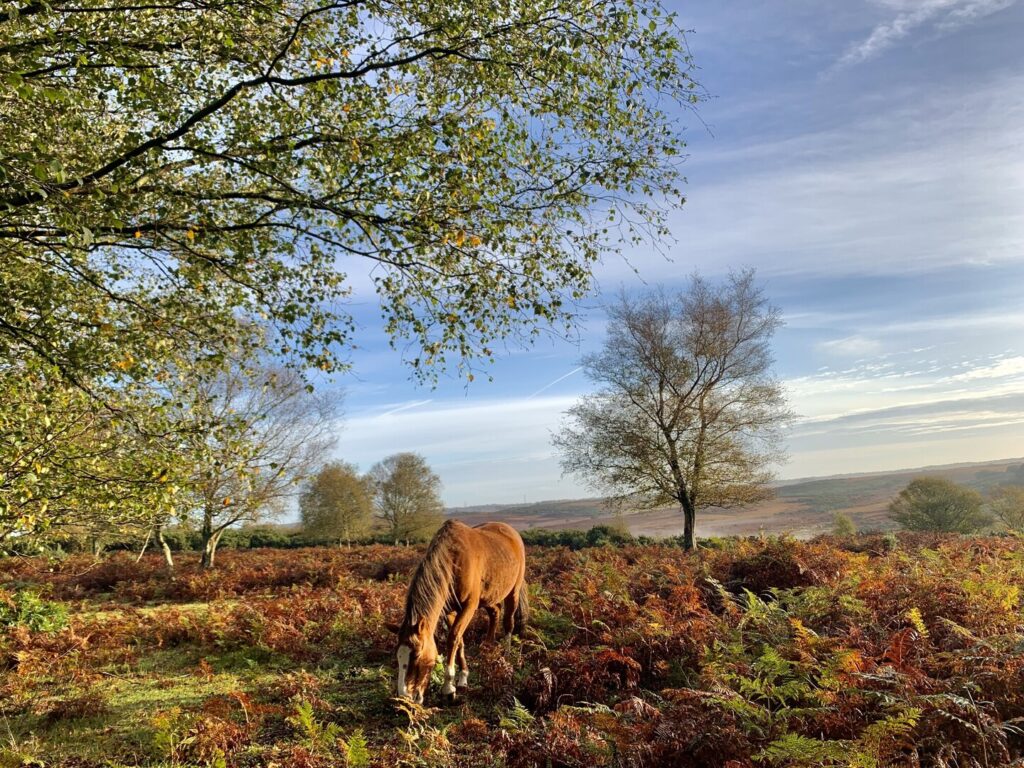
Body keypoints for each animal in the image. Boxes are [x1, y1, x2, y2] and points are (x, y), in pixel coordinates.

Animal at [387, 519, 529, 703]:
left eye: (417, 655)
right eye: (398, 655)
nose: (405, 697)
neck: (453, 560)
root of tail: (512, 532)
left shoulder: (469, 606)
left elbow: (453, 638)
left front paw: (448, 688)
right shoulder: (450, 611)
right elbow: (459, 640)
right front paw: (462, 678)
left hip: (513, 592)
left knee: (508, 622)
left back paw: (506, 653)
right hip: (488, 597)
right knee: (495, 612)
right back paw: (488, 647)